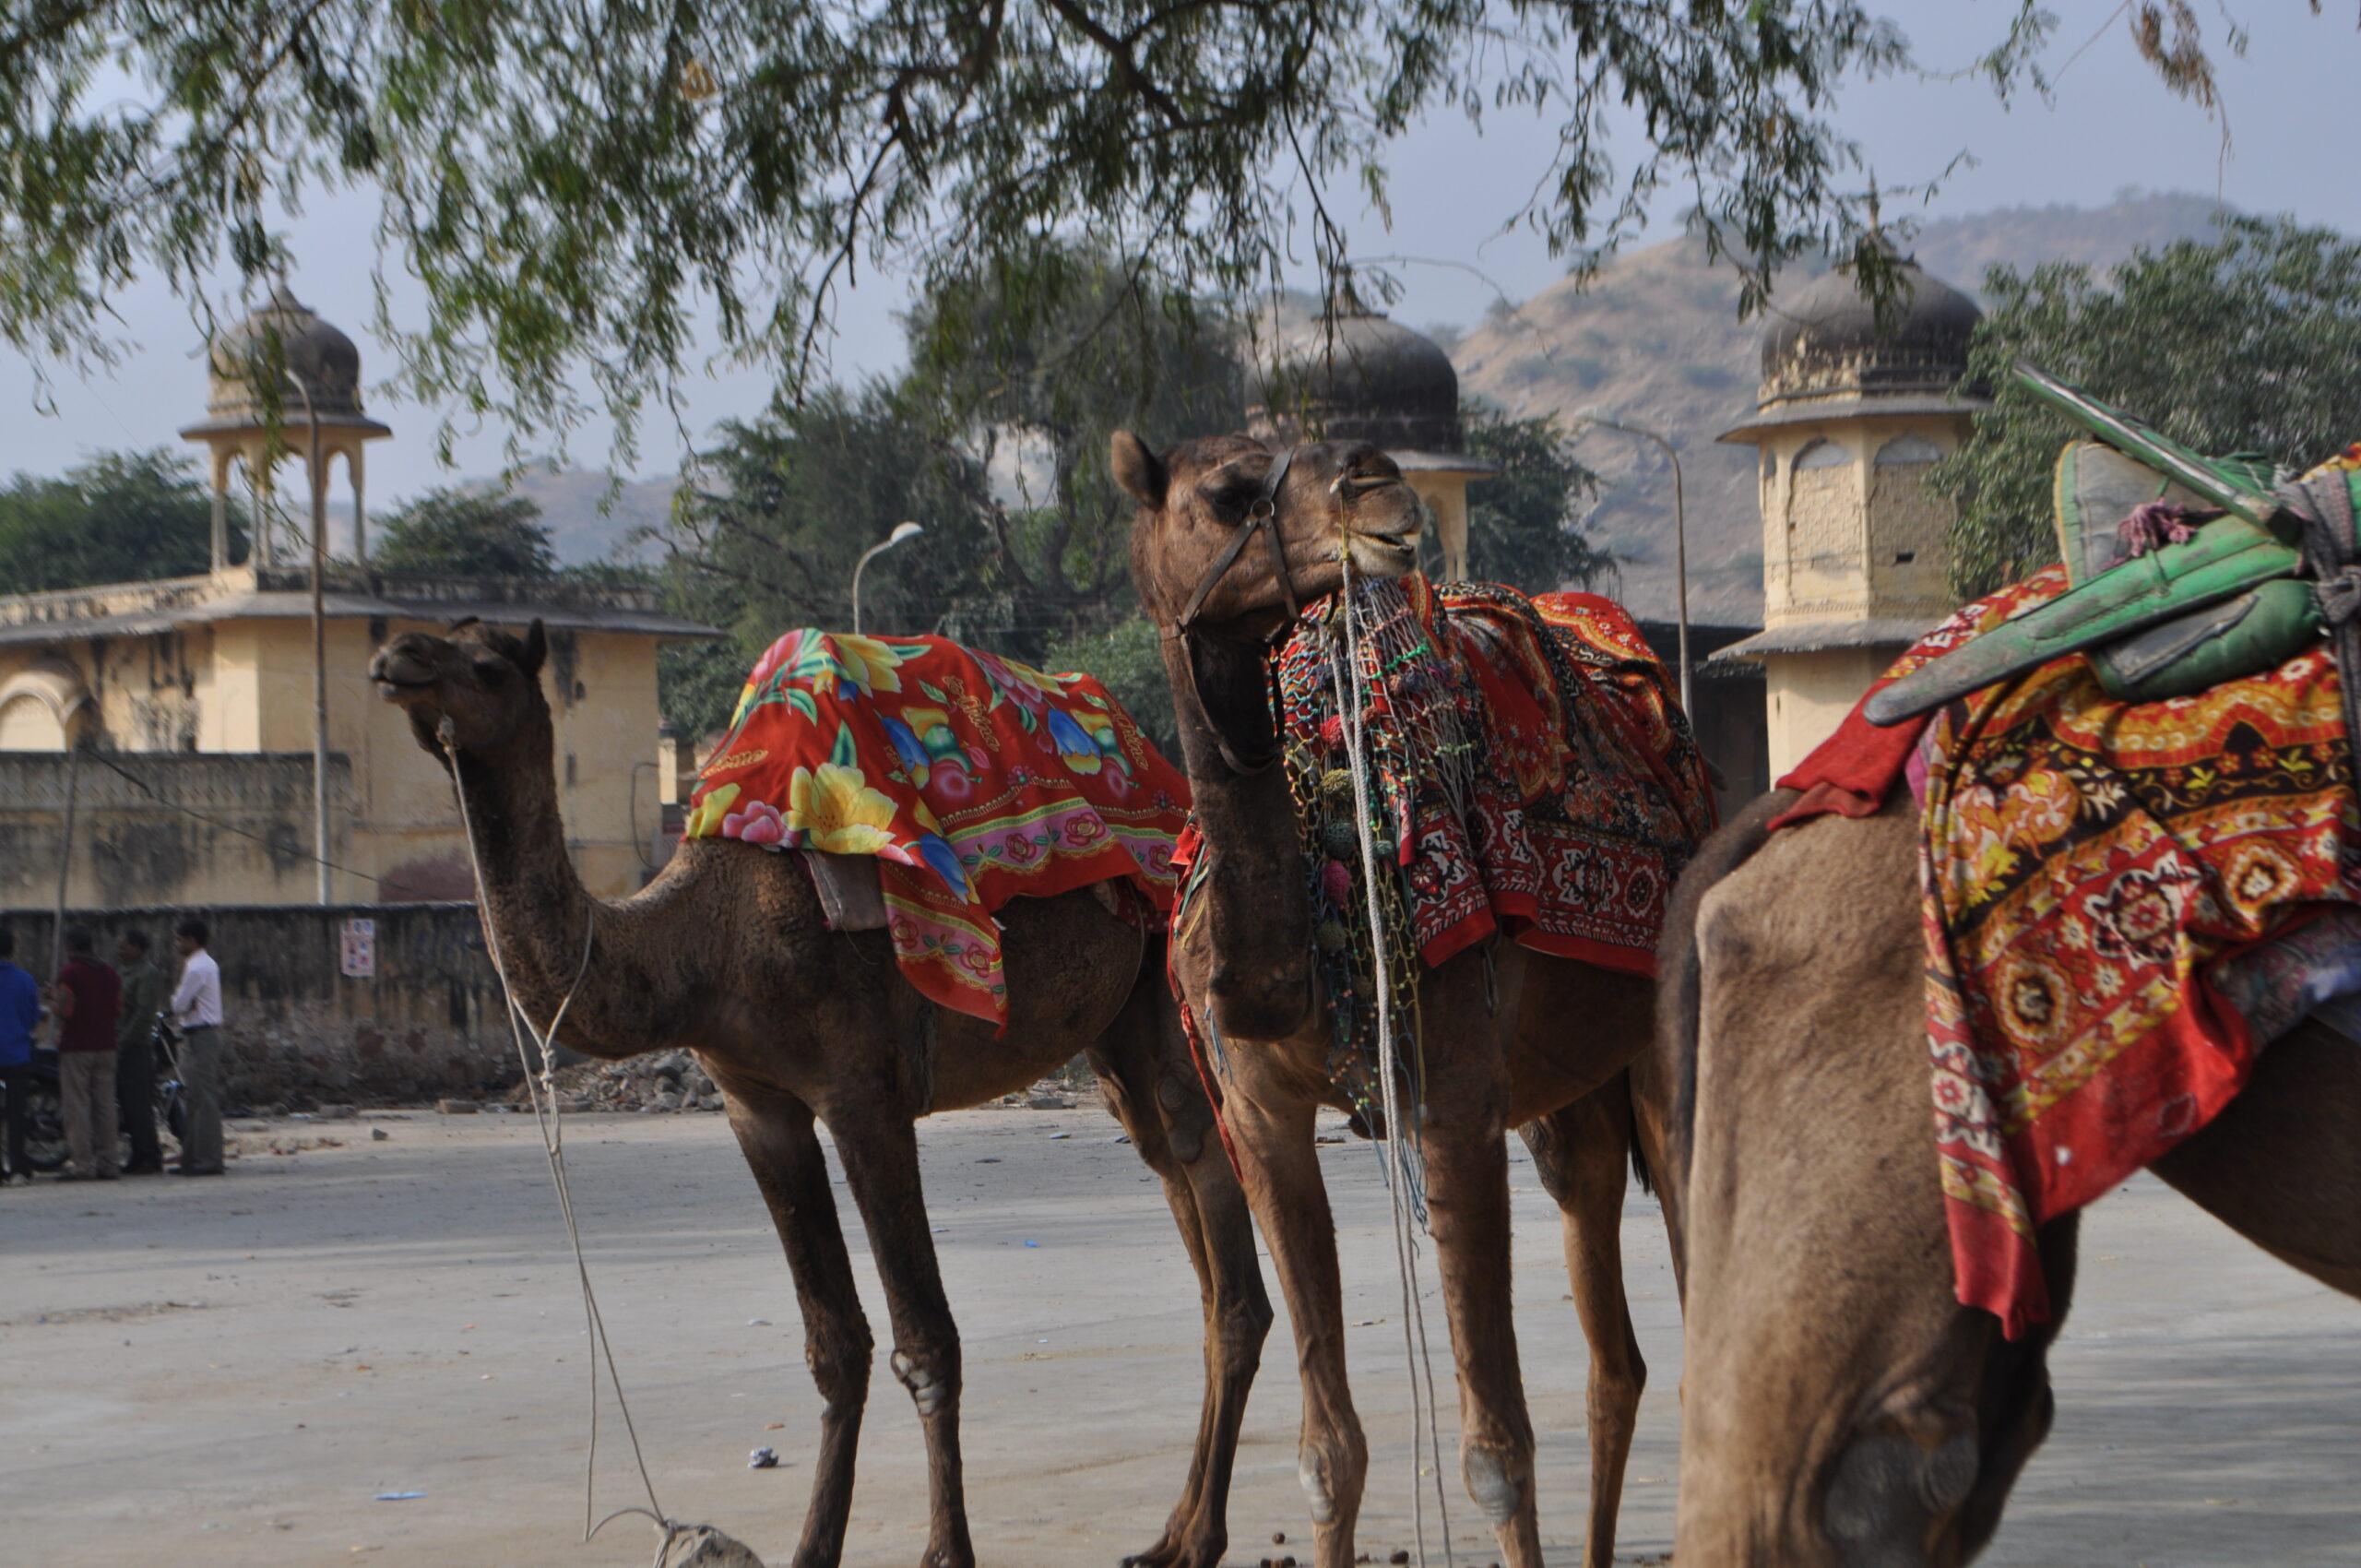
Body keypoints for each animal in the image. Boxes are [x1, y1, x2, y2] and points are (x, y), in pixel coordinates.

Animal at [368, 618, 1275, 1568]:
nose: (396, 661)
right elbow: (833, 1343)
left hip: (1176, 976)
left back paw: (1198, 1537)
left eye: (486, 666)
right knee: (1184, 1196)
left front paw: (946, 1553)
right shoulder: (757, 1105)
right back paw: (1173, 1534)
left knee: (1208, 1176)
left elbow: (926, 1340)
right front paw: (812, 1547)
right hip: (1118, 1026)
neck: (708, 942)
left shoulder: (862, 1094)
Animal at [1109, 429, 1718, 1568]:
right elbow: (1329, 1449)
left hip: (1665, 1057)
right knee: (1616, 1352)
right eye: (1228, 492)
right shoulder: (1259, 1119)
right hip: (1570, 1107)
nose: (1377, 482)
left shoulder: (1453, 1107)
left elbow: (1496, 1448)